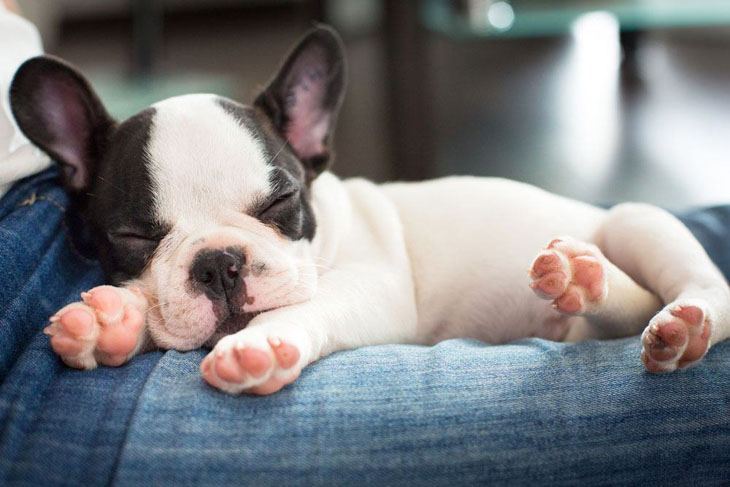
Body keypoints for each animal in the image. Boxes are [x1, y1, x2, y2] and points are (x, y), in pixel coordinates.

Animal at [11, 24, 728, 394]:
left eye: (281, 200)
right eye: (133, 236)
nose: (218, 264)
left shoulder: (374, 288)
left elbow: (305, 306)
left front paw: (260, 342)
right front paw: (111, 322)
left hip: (637, 221)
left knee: (692, 290)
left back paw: (671, 320)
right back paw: (581, 278)